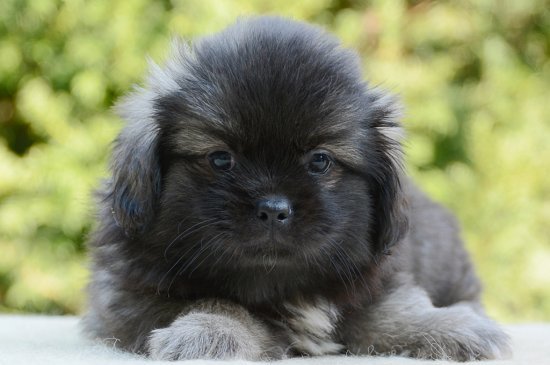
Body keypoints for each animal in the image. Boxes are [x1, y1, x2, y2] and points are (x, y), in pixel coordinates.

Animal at [83, 15, 512, 360]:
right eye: (221, 159)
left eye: (320, 161)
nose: (274, 208)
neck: (280, 282)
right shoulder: (133, 298)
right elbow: (226, 305)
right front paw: (207, 333)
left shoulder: (377, 283)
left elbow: (393, 311)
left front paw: (452, 327)